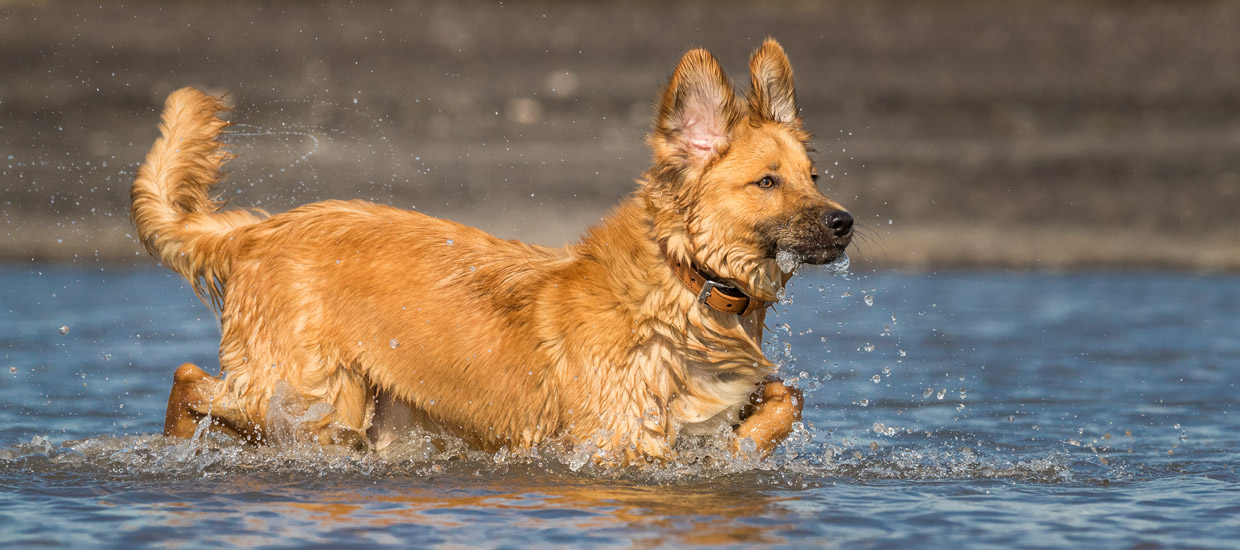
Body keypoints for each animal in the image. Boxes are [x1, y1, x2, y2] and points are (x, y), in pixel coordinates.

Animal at [133, 39, 853, 463]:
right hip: (312, 399)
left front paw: (744, 448)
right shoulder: (620, 442)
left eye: (814, 175)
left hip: (361, 407)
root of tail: (257, 230)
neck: (690, 285)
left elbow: (783, 401)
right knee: (190, 379)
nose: (846, 222)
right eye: (767, 181)